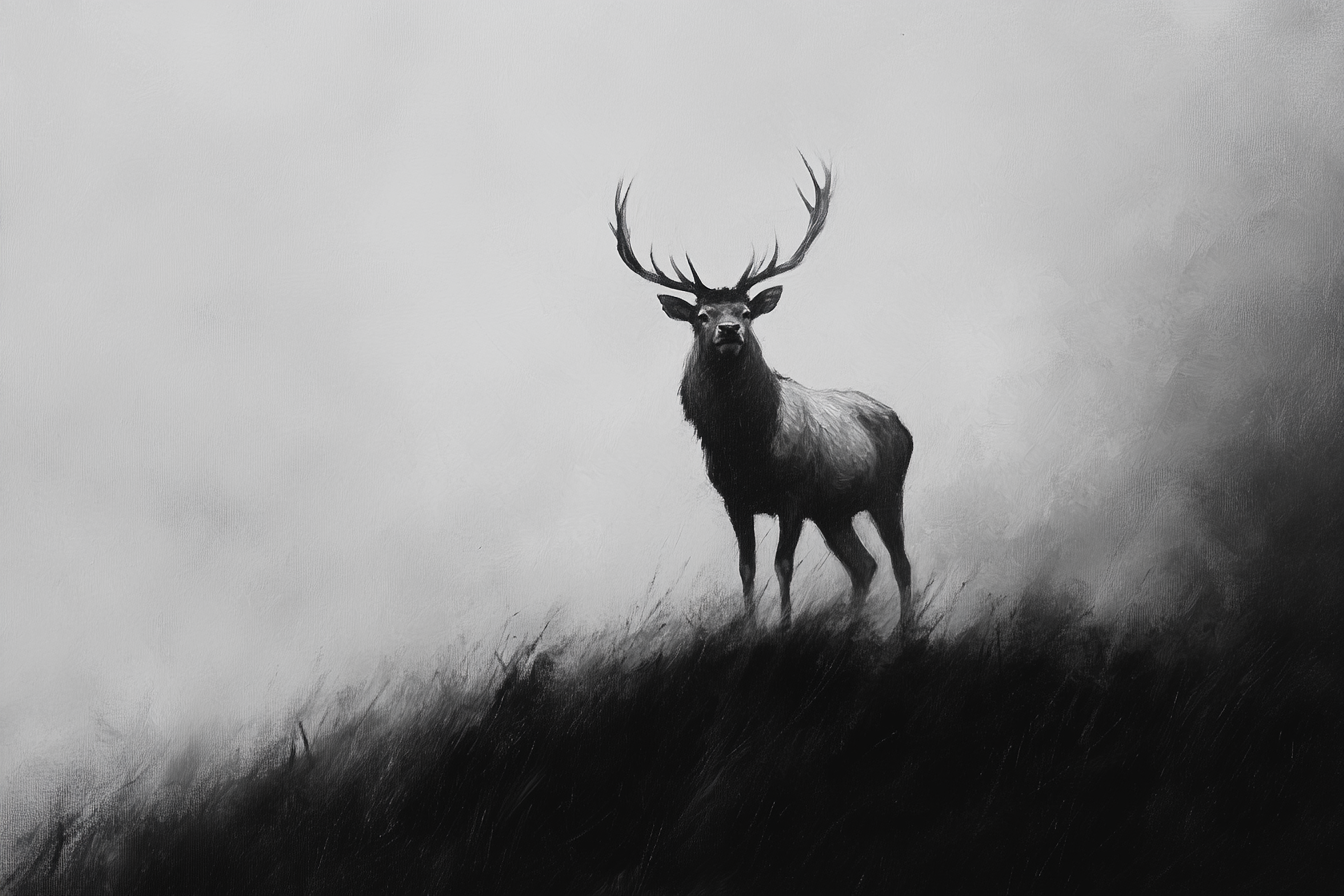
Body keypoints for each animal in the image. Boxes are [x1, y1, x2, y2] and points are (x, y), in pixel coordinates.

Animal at [611, 158, 914, 629]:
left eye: (747, 311)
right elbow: (747, 567)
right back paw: (850, 627)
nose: (729, 330)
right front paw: (752, 629)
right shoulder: (735, 500)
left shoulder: (794, 496)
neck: (745, 445)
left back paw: (904, 631)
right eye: (701, 315)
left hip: (887, 491)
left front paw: (786, 626)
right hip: (834, 512)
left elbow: (783, 565)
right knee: (864, 565)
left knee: (900, 563)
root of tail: (902, 425)